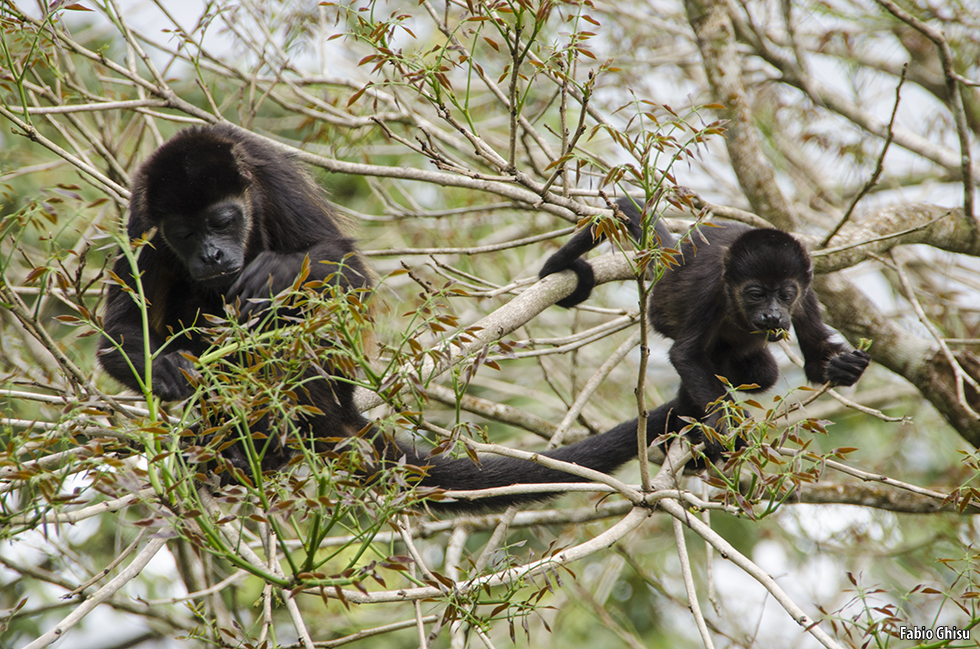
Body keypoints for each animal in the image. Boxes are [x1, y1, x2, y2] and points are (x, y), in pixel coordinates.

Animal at [99, 125, 644, 512]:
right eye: (184, 233)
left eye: (222, 220)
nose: (211, 254)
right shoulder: (142, 222)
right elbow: (115, 337)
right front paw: (166, 368)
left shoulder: (271, 176)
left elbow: (350, 275)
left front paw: (277, 272)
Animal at [540, 197, 868, 456]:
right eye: (756, 294)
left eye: (786, 295)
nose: (773, 316)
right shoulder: (710, 291)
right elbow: (685, 355)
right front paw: (727, 422)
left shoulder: (806, 293)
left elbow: (814, 357)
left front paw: (844, 367)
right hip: (661, 313)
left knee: (762, 373)